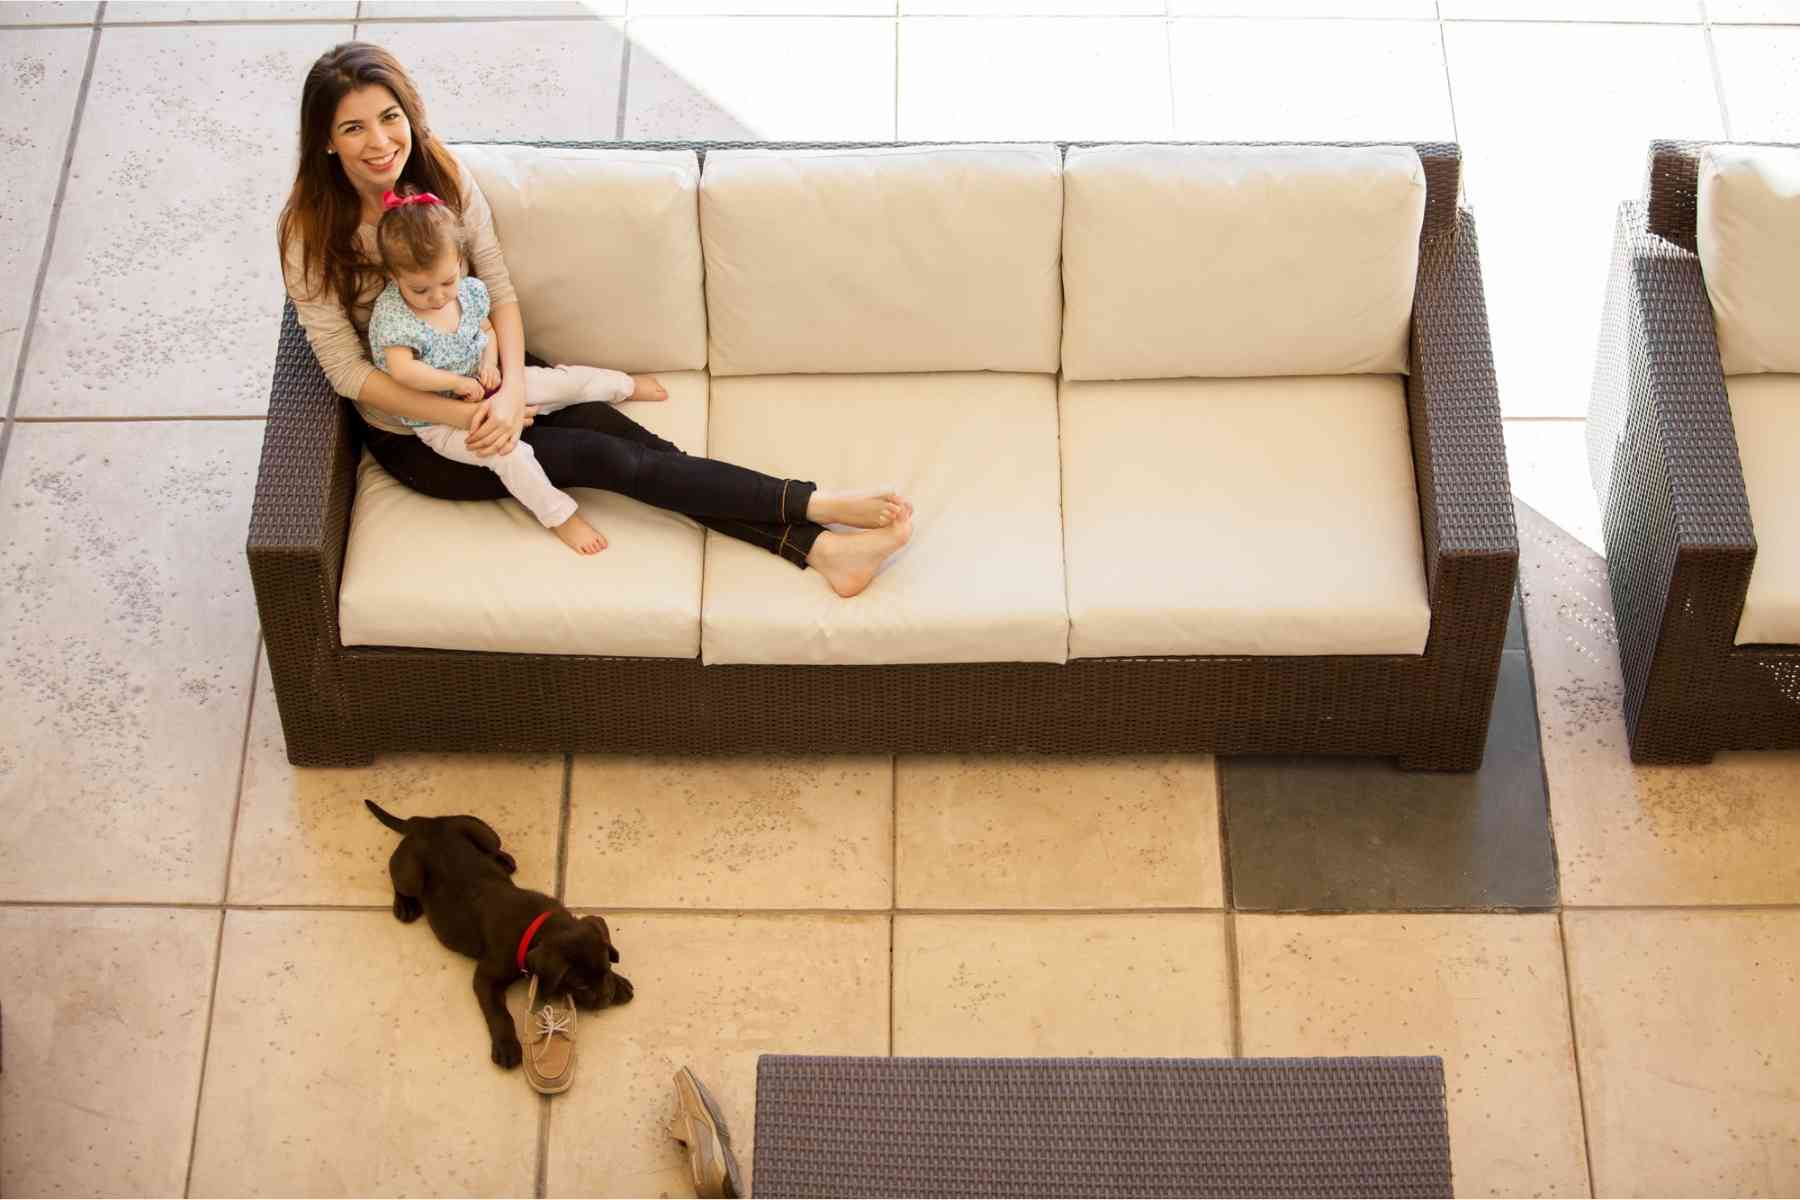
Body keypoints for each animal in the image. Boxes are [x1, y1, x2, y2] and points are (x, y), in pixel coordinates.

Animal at [365, 802, 633, 1065]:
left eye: (607, 968)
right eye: (580, 985)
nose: (606, 998)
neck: (537, 923)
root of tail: (422, 823)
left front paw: (619, 984)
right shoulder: (485, 978)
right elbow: (499, 1013)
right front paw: (506, 1047)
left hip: (485, 833)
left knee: (492, 850)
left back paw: (504, 860)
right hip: (409, 873)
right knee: (398, 882)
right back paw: (404, 905)